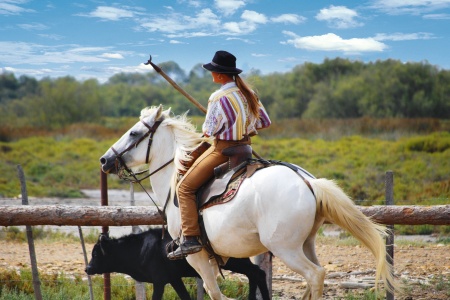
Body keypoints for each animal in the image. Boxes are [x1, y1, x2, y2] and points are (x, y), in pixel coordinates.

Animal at [101, 105, 398, 298]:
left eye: (134, 133)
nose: (105, 159)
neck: (177, 177)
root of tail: (308, 182)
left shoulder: (196, 254)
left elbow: (214, 292)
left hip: (285, 248)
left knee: (315, 275)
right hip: (306, 243)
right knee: (316, 276)